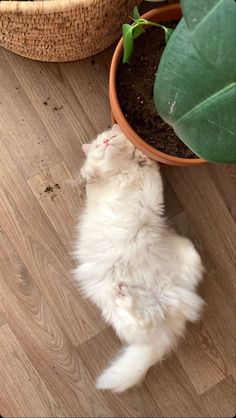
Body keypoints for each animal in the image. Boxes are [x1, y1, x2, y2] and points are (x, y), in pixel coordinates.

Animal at [73, 124, 204, 392]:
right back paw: (125, 295)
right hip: (121, 306)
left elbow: (148, 171)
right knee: (142, 318)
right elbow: (91, 175)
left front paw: (141, 156)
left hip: (184, 257)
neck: (121, 174)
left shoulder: (152, 191)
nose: (105, 144)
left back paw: (128, 295)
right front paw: (90, 169)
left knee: (146, 316)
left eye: (112, 137)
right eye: (99, 143)